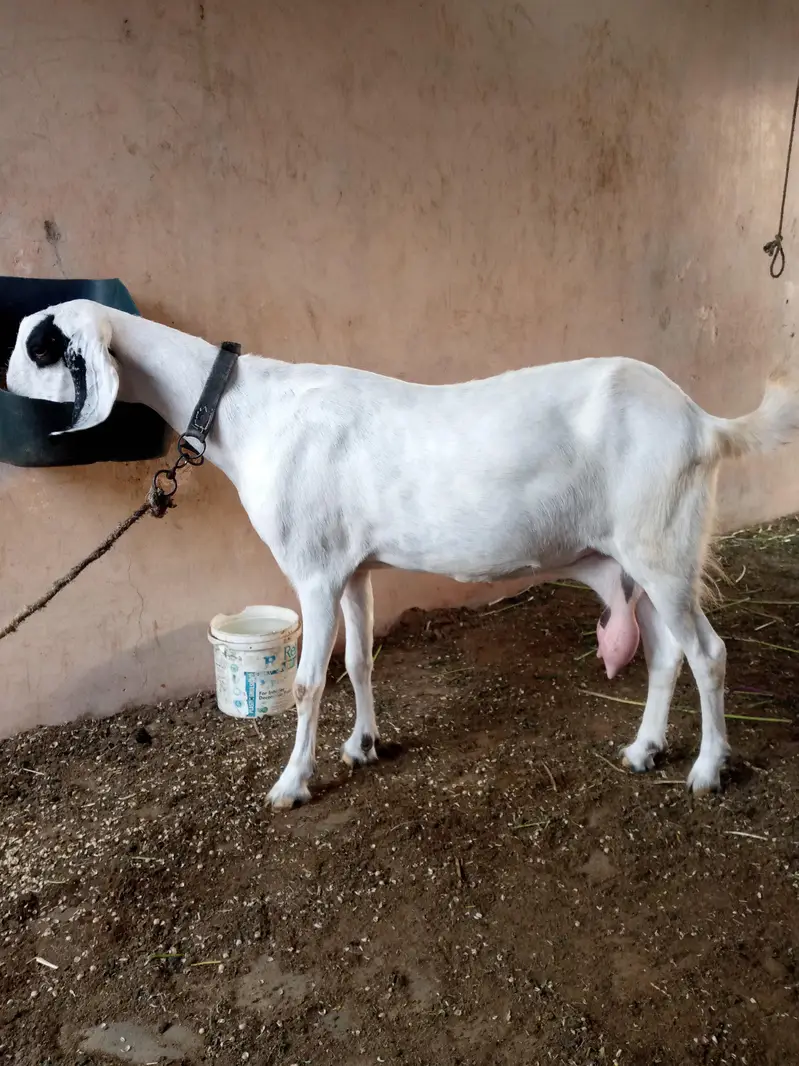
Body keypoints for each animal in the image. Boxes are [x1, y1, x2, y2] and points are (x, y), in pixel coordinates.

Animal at [7, 300, 799, 807]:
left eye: (37, 343)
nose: (3, 380)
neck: (247, 411)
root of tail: (703, 423)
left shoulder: (313, 571)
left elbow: (307, 683)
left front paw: (291, 784)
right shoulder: (353, 569)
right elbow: (358, 661)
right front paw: (362, 745)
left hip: (663, 548)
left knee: (709, 654)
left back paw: (707, 770)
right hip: (649, 557)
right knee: (668, 654)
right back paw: (644, 751)